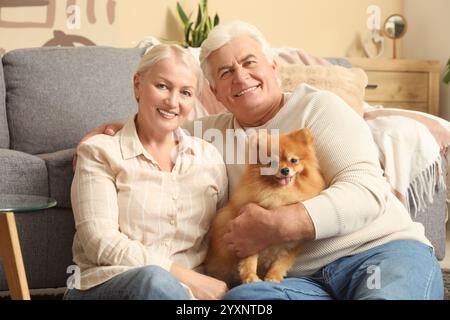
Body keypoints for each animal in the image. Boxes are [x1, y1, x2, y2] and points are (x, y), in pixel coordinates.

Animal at [206, 127, 326, 284]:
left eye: (293, 160)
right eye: (272, 163)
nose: (285, 170)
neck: (280, 194)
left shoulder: (291, 244)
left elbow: (281, 263)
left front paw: (273, 278)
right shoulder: (245, 236)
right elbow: (250, 259)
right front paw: (250, 276)